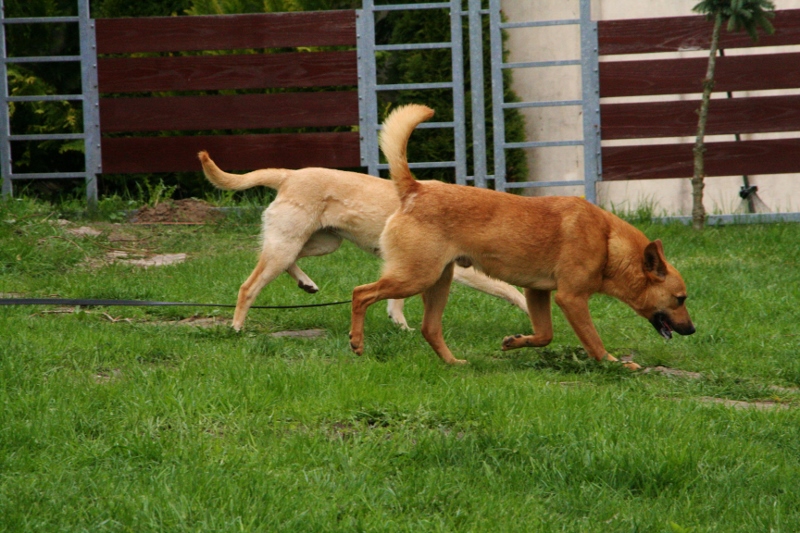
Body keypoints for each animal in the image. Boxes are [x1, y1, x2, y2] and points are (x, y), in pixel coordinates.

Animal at [197, 151, 527, 331]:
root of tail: (288, 175)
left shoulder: (409, 268)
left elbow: (396, 302)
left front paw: (400, 325)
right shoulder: (458, 270)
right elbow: (512, 291)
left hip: (320, 243)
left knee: (290, 262)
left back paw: (306, 283)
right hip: (287, 245)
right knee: (248, 287)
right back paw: (237, 328)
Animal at [348, 104, 695, 369]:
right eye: (680, 299)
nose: (692, 330)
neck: (608, 243)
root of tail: (414, 189)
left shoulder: (536, 292)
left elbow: (545, 335)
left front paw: (515, 342)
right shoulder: (571, 299)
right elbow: (594, 342)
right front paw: (616, 365)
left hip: (438, 281)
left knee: (429, 328)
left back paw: (454, 364)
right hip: (416, 276)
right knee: (360, 293)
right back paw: (357, 343)